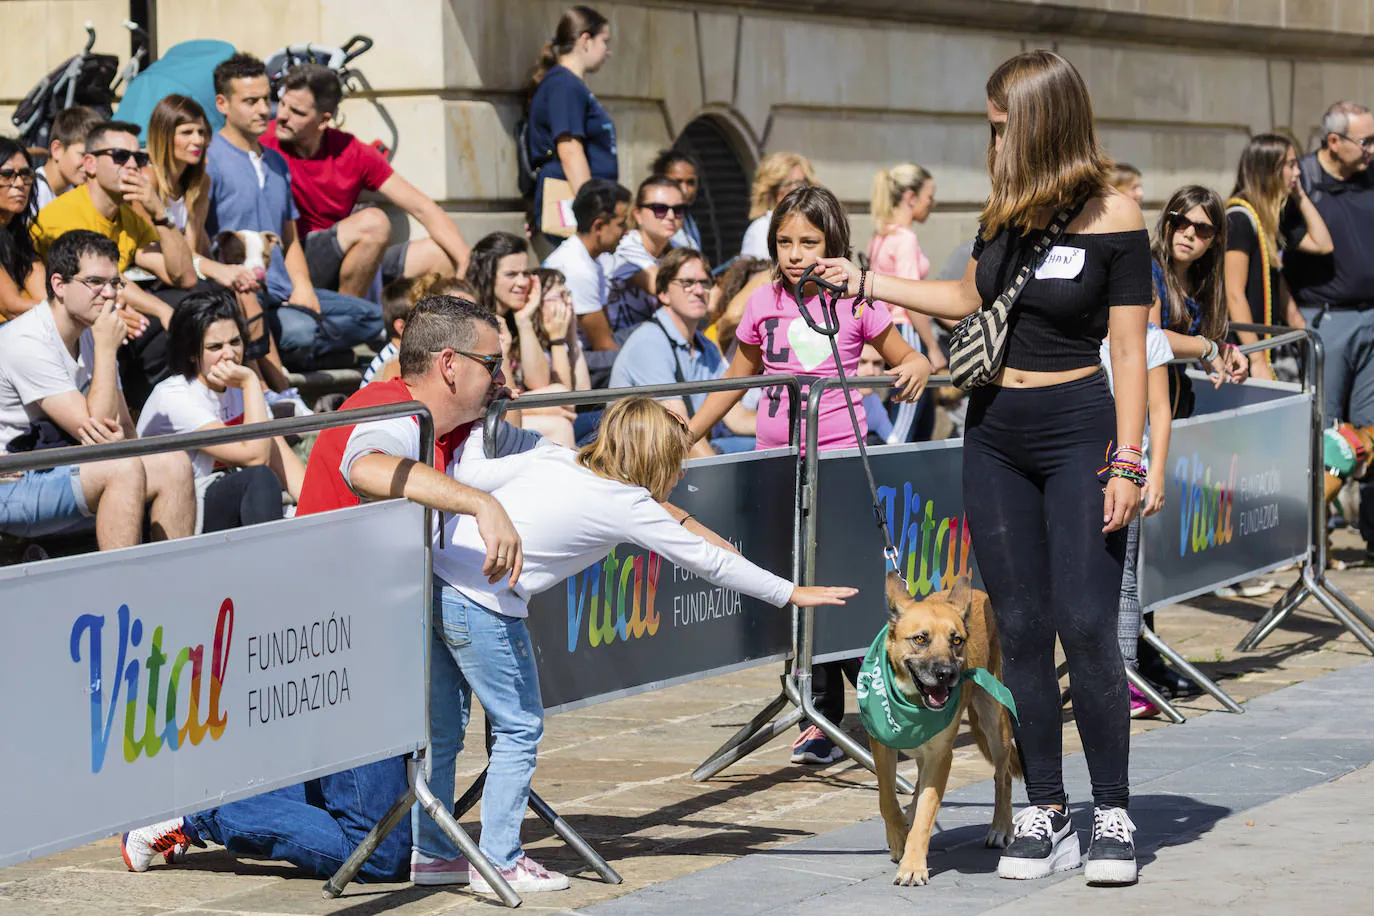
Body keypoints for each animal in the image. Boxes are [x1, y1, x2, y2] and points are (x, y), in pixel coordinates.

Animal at [868, 574, 1022, 889]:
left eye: (956, 640)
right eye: (920, 639)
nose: (946, 674)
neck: (913, 702)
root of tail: (978, 593)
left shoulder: (941, 756)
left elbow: (926, 813)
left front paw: (912, 865)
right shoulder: (882, 746)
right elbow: (887, 798)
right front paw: (898, 837)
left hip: (994, 723)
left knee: (1002, 777)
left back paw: (1001, 826)